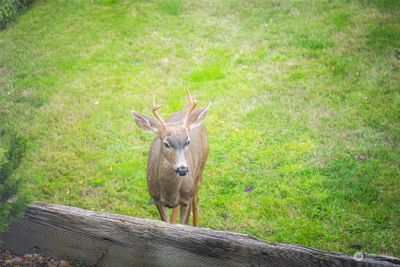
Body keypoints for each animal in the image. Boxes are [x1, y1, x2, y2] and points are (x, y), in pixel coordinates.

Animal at [132, 90, 212, 226]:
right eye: (166, 144)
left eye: (188, 141)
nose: (182, 169)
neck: (170, 193)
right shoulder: (156, 199)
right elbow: (167, 223)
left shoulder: (187, 198)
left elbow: (184, 223)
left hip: (200, 170)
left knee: (197, 198)